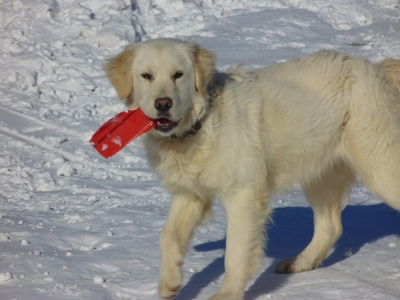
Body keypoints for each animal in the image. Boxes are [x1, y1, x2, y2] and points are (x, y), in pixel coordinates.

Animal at [104, 38, 400, 300]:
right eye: (146, 76)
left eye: (178, 75)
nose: (163, 104)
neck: (201, 124)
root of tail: (377, 68)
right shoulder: (190, 194)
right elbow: (168, 237)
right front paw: (170, 283)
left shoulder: (243, 195)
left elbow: (235, 252)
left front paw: (226, 295)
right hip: (319, 173)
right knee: (331, 226)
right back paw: (299, 263)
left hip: (380, 168)